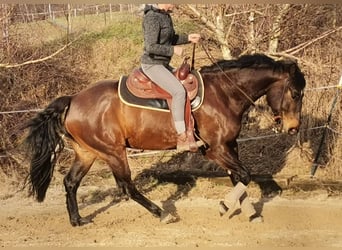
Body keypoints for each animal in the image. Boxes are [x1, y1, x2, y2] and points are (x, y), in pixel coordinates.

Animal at [24, 54, 308, 227]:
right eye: (295, 93)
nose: (293, 128)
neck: (223, 93)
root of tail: (73, 99)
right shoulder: (215, 149)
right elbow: (245, 175)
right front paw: (226, 206)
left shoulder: (230, 146)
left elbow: (239, 178)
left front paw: (249, 214)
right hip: (114, 152)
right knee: (126, 187)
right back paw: (162, 214)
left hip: (88, 153)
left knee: (71, 183)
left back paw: (77, 220)